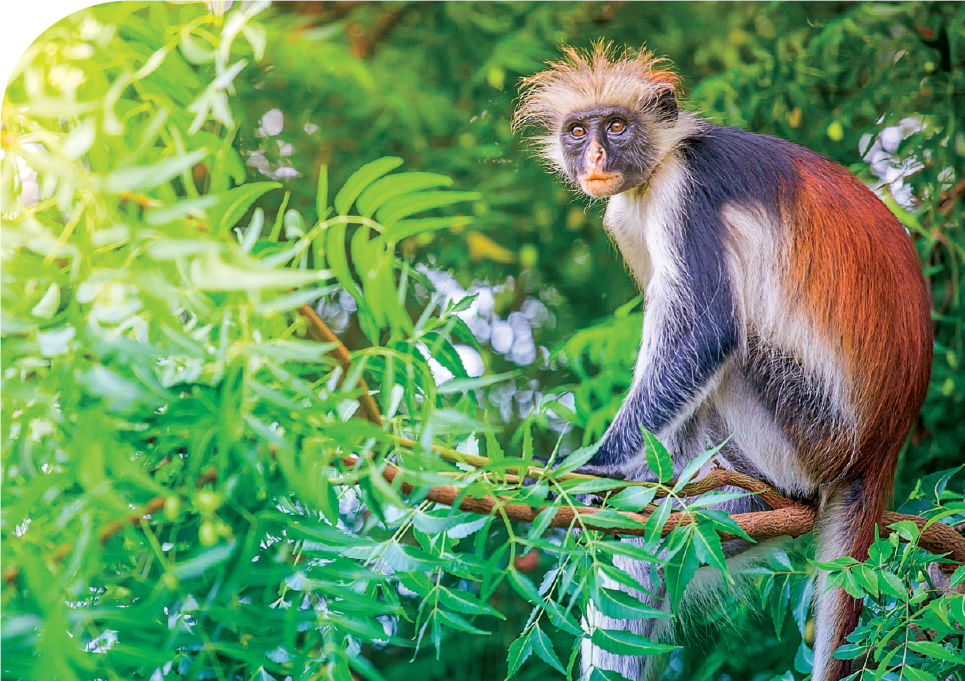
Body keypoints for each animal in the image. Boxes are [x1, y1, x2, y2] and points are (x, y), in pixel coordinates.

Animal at [516, 43, 932, 680]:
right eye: (578, 131)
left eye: (617, 127)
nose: (594, 156)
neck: (662, 160)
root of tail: (879, 449)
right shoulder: (627, 214)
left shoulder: (684, 189)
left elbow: (705, 334)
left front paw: (597, 467)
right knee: (647, 551)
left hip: (807, 430)